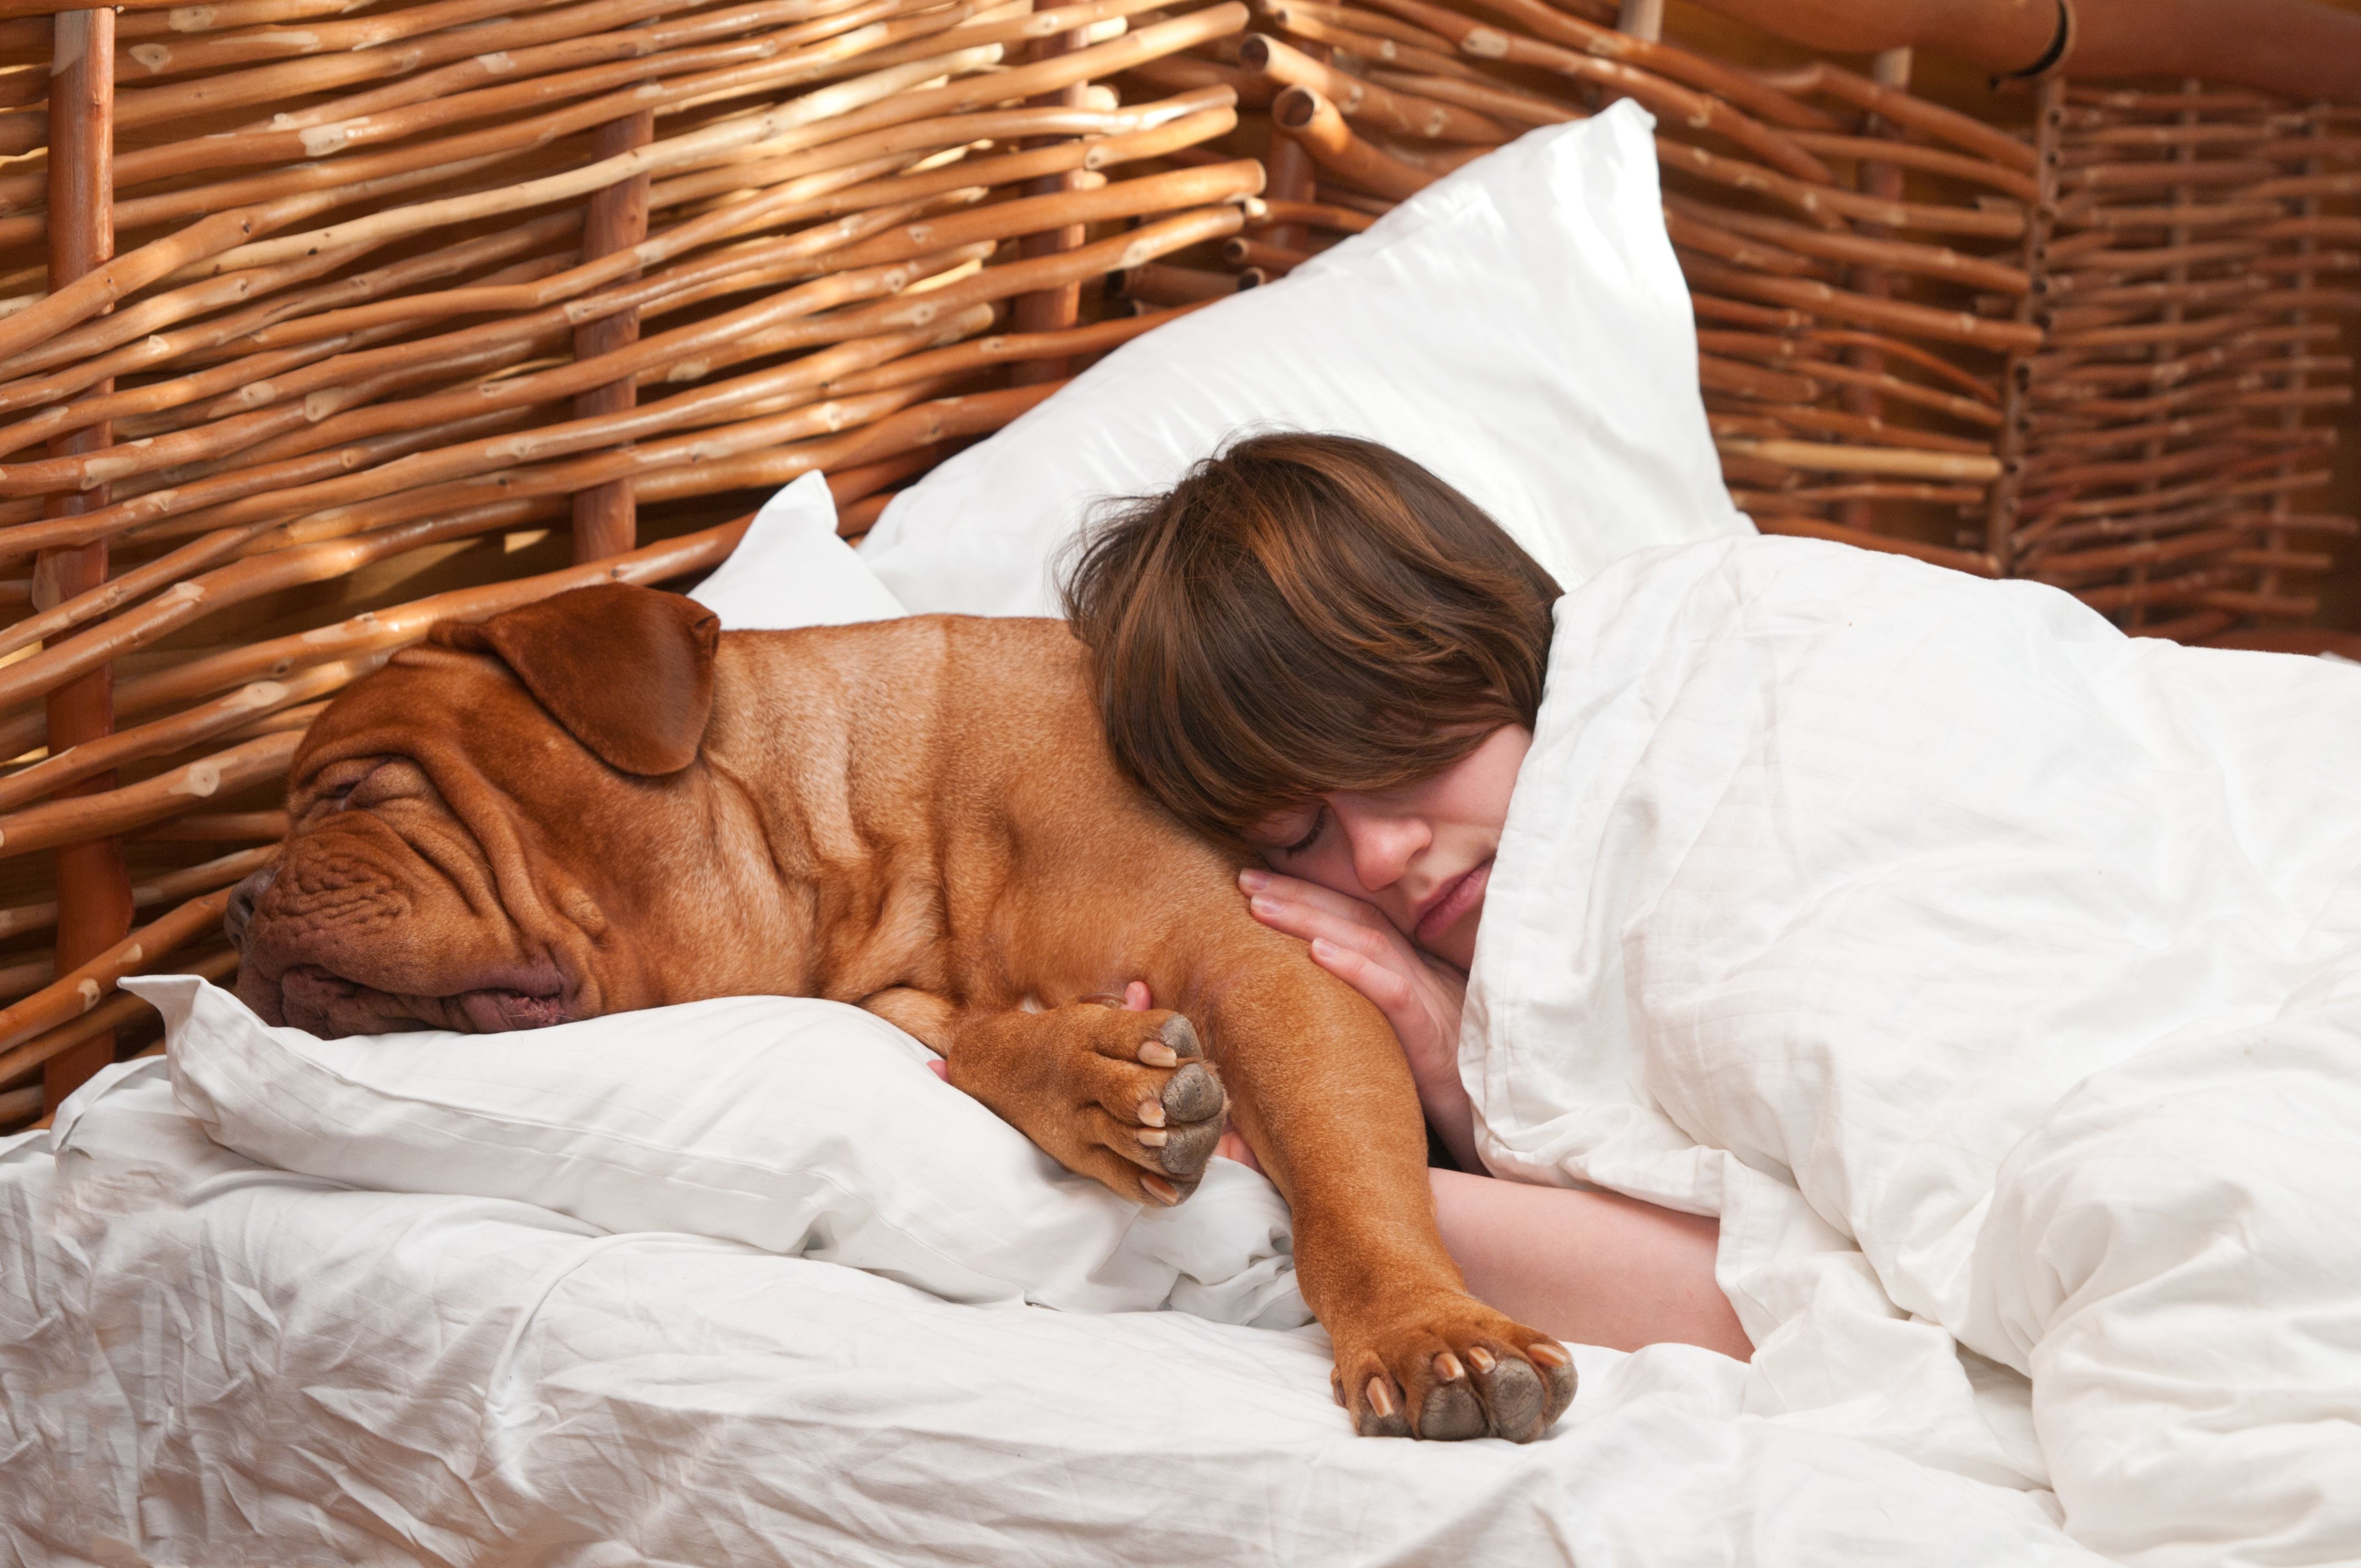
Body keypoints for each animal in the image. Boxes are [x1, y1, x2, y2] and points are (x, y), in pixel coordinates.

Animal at [235, 581, 1568, 1435]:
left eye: (355, 788)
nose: (241, 903)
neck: (864, 833)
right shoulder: (907, 1002)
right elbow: (979, 1046)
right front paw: (1093, 1080)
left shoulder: (1270, 970)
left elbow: (1349, 1195)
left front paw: (1418, 1324)